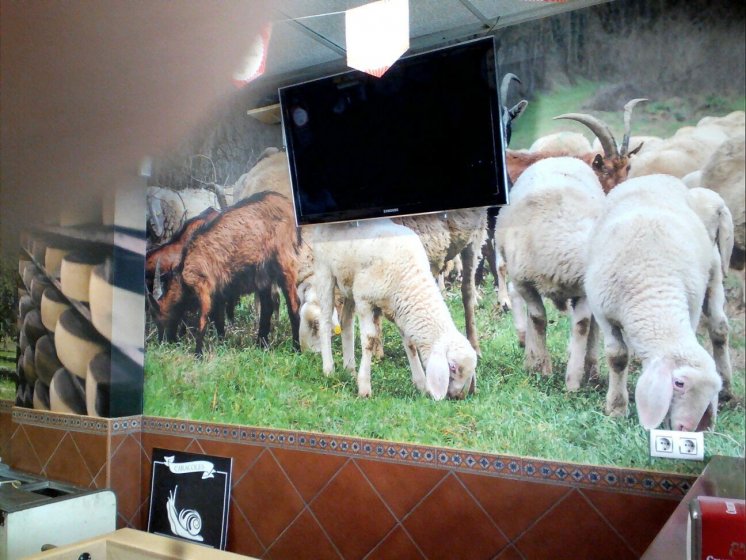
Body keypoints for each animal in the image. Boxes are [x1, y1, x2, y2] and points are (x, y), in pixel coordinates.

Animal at [310, 217, 476, 400]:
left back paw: (350, 370)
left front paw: (422, 385)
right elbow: (369, 340)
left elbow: (410, 345)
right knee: (325, 321)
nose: (458, 396)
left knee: (346, 323)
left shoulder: (400, 310)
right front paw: (364, 387)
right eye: (453, 367)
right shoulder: (364, 300)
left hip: (349, 283)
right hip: (324, 272)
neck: (409, 278)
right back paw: (329, 369)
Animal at [494, 155, 604, 388]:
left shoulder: (582, 290)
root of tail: (559, 157)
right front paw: (541, 368)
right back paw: (525, 341)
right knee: (515, 295)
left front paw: (573, 381)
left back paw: (591, 368)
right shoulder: (525, 282)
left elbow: (582, 324)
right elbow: (537, 318)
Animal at [580, 175, 732, 428]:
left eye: (711, 392)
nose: (686, 429)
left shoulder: (690, 309)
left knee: (719, 328)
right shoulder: (603, 312)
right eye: (679, 383)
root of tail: (656, 177)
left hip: (713, 273)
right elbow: (617, 357)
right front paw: (616, 408)